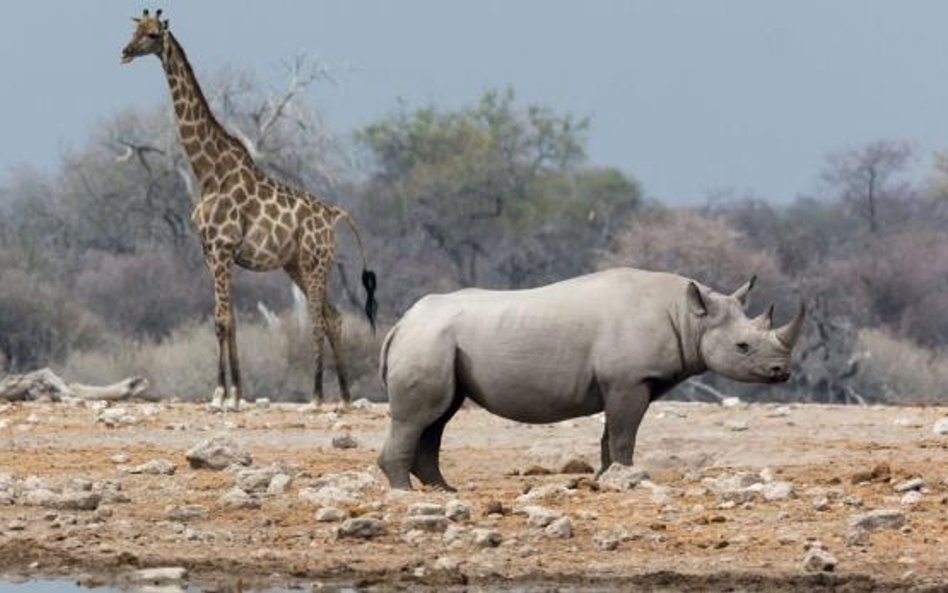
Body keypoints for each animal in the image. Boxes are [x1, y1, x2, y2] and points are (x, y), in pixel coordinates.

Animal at [121, 9, 378, 410]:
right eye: (134, 30)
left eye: (151, 35)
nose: (125, 51)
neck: (208, 171)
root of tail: (334, 214)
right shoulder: (211, 253)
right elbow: (229, 321)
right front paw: (236, 394)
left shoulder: (222, 249)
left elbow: (222, 320)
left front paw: (219, 394)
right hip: (296, 265)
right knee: (334, 315)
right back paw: (347, 397)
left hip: (314, 262)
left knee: (319, 318)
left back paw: (317, 395)